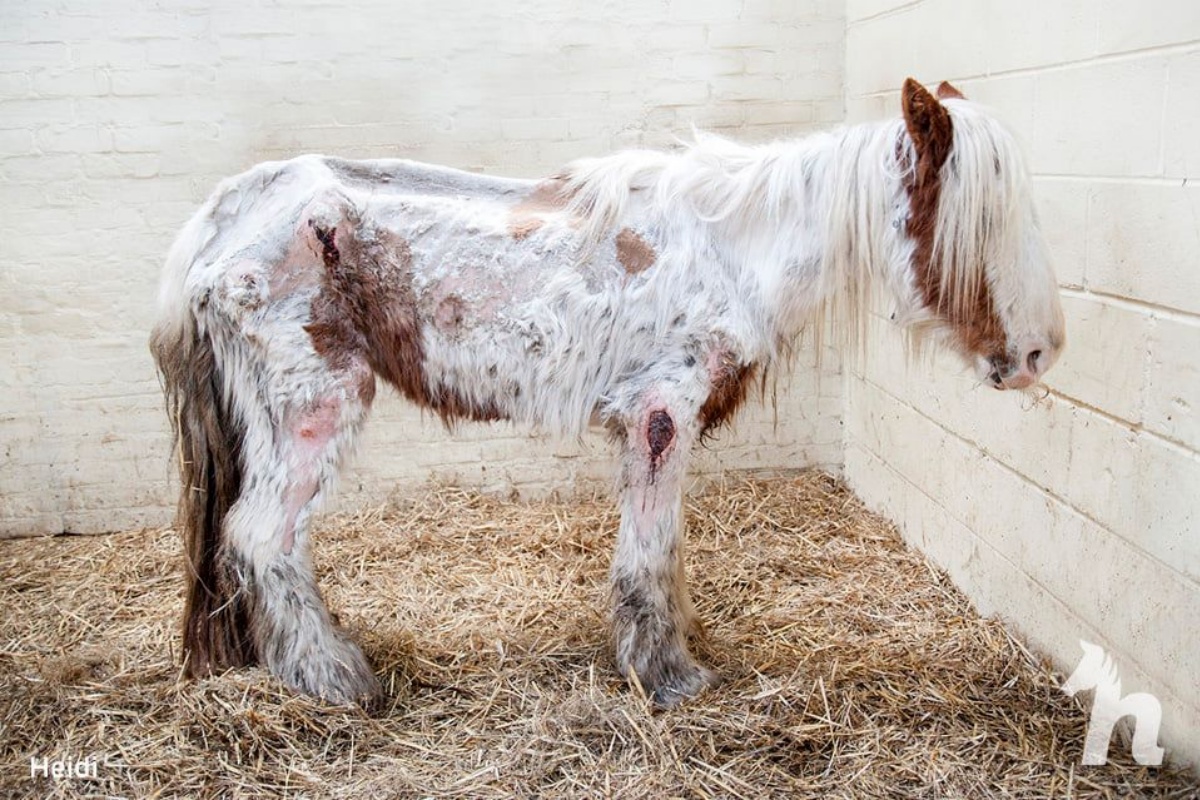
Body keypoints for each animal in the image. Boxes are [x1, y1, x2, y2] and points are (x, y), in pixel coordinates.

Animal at [152, 79, 1070, 705]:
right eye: (981, 220)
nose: (1039, 353)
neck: (733, 250)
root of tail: (225, 216)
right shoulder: (660, 415)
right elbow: (650, 550)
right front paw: (667, 676)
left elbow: (663, 551)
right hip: (313, 409)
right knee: (261, 536)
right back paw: (334, 677)